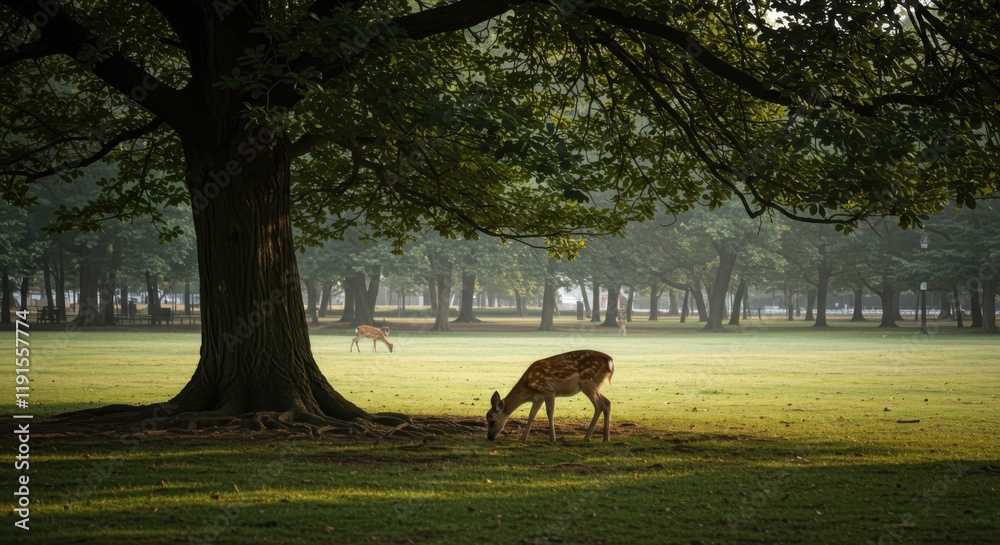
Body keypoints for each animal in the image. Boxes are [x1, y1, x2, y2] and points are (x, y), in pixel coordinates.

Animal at [486, 349, 614, 443]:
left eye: (492, 421)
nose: (489, 437)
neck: (528, 388)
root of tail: (610, 361)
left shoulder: (548, 391)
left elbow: (550, 413)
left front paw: (553, 439)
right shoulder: (538, 398)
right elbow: (532, 414)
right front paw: (522, 438)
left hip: (588, 383)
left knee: (599, 405)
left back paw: (591, 437)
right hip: (594, 385)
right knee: (607, 402)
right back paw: (604, 438)